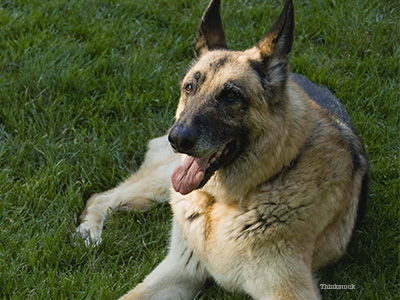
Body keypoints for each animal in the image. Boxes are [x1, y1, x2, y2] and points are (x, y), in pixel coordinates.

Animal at [75, 1, 368, 298]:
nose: (177, 139)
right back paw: (90, 230)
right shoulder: (180, 269)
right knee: (99, 197)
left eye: (231, 96)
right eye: (190, 88)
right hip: (166, 176)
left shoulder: (287, 289)